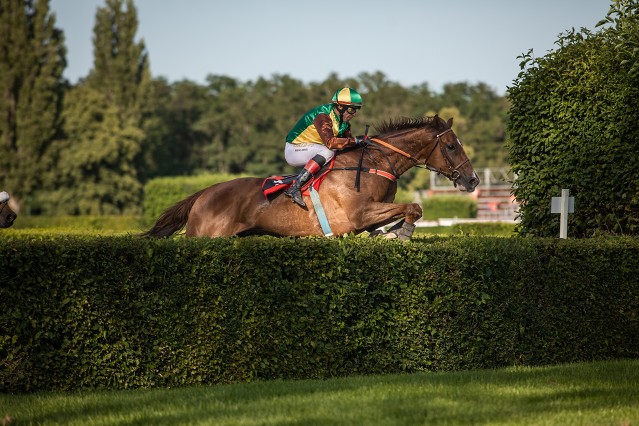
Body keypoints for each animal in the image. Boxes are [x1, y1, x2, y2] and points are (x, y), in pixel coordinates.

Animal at [142, 115, 478, 238]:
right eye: (451, 145)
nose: (473, 179)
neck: (372, 163)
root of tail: (203, 194)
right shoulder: (358, 214)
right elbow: (414, 207)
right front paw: (401, 233)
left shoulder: (370, 216)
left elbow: (403, 213)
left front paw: (390, 233)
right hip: (204, 237)